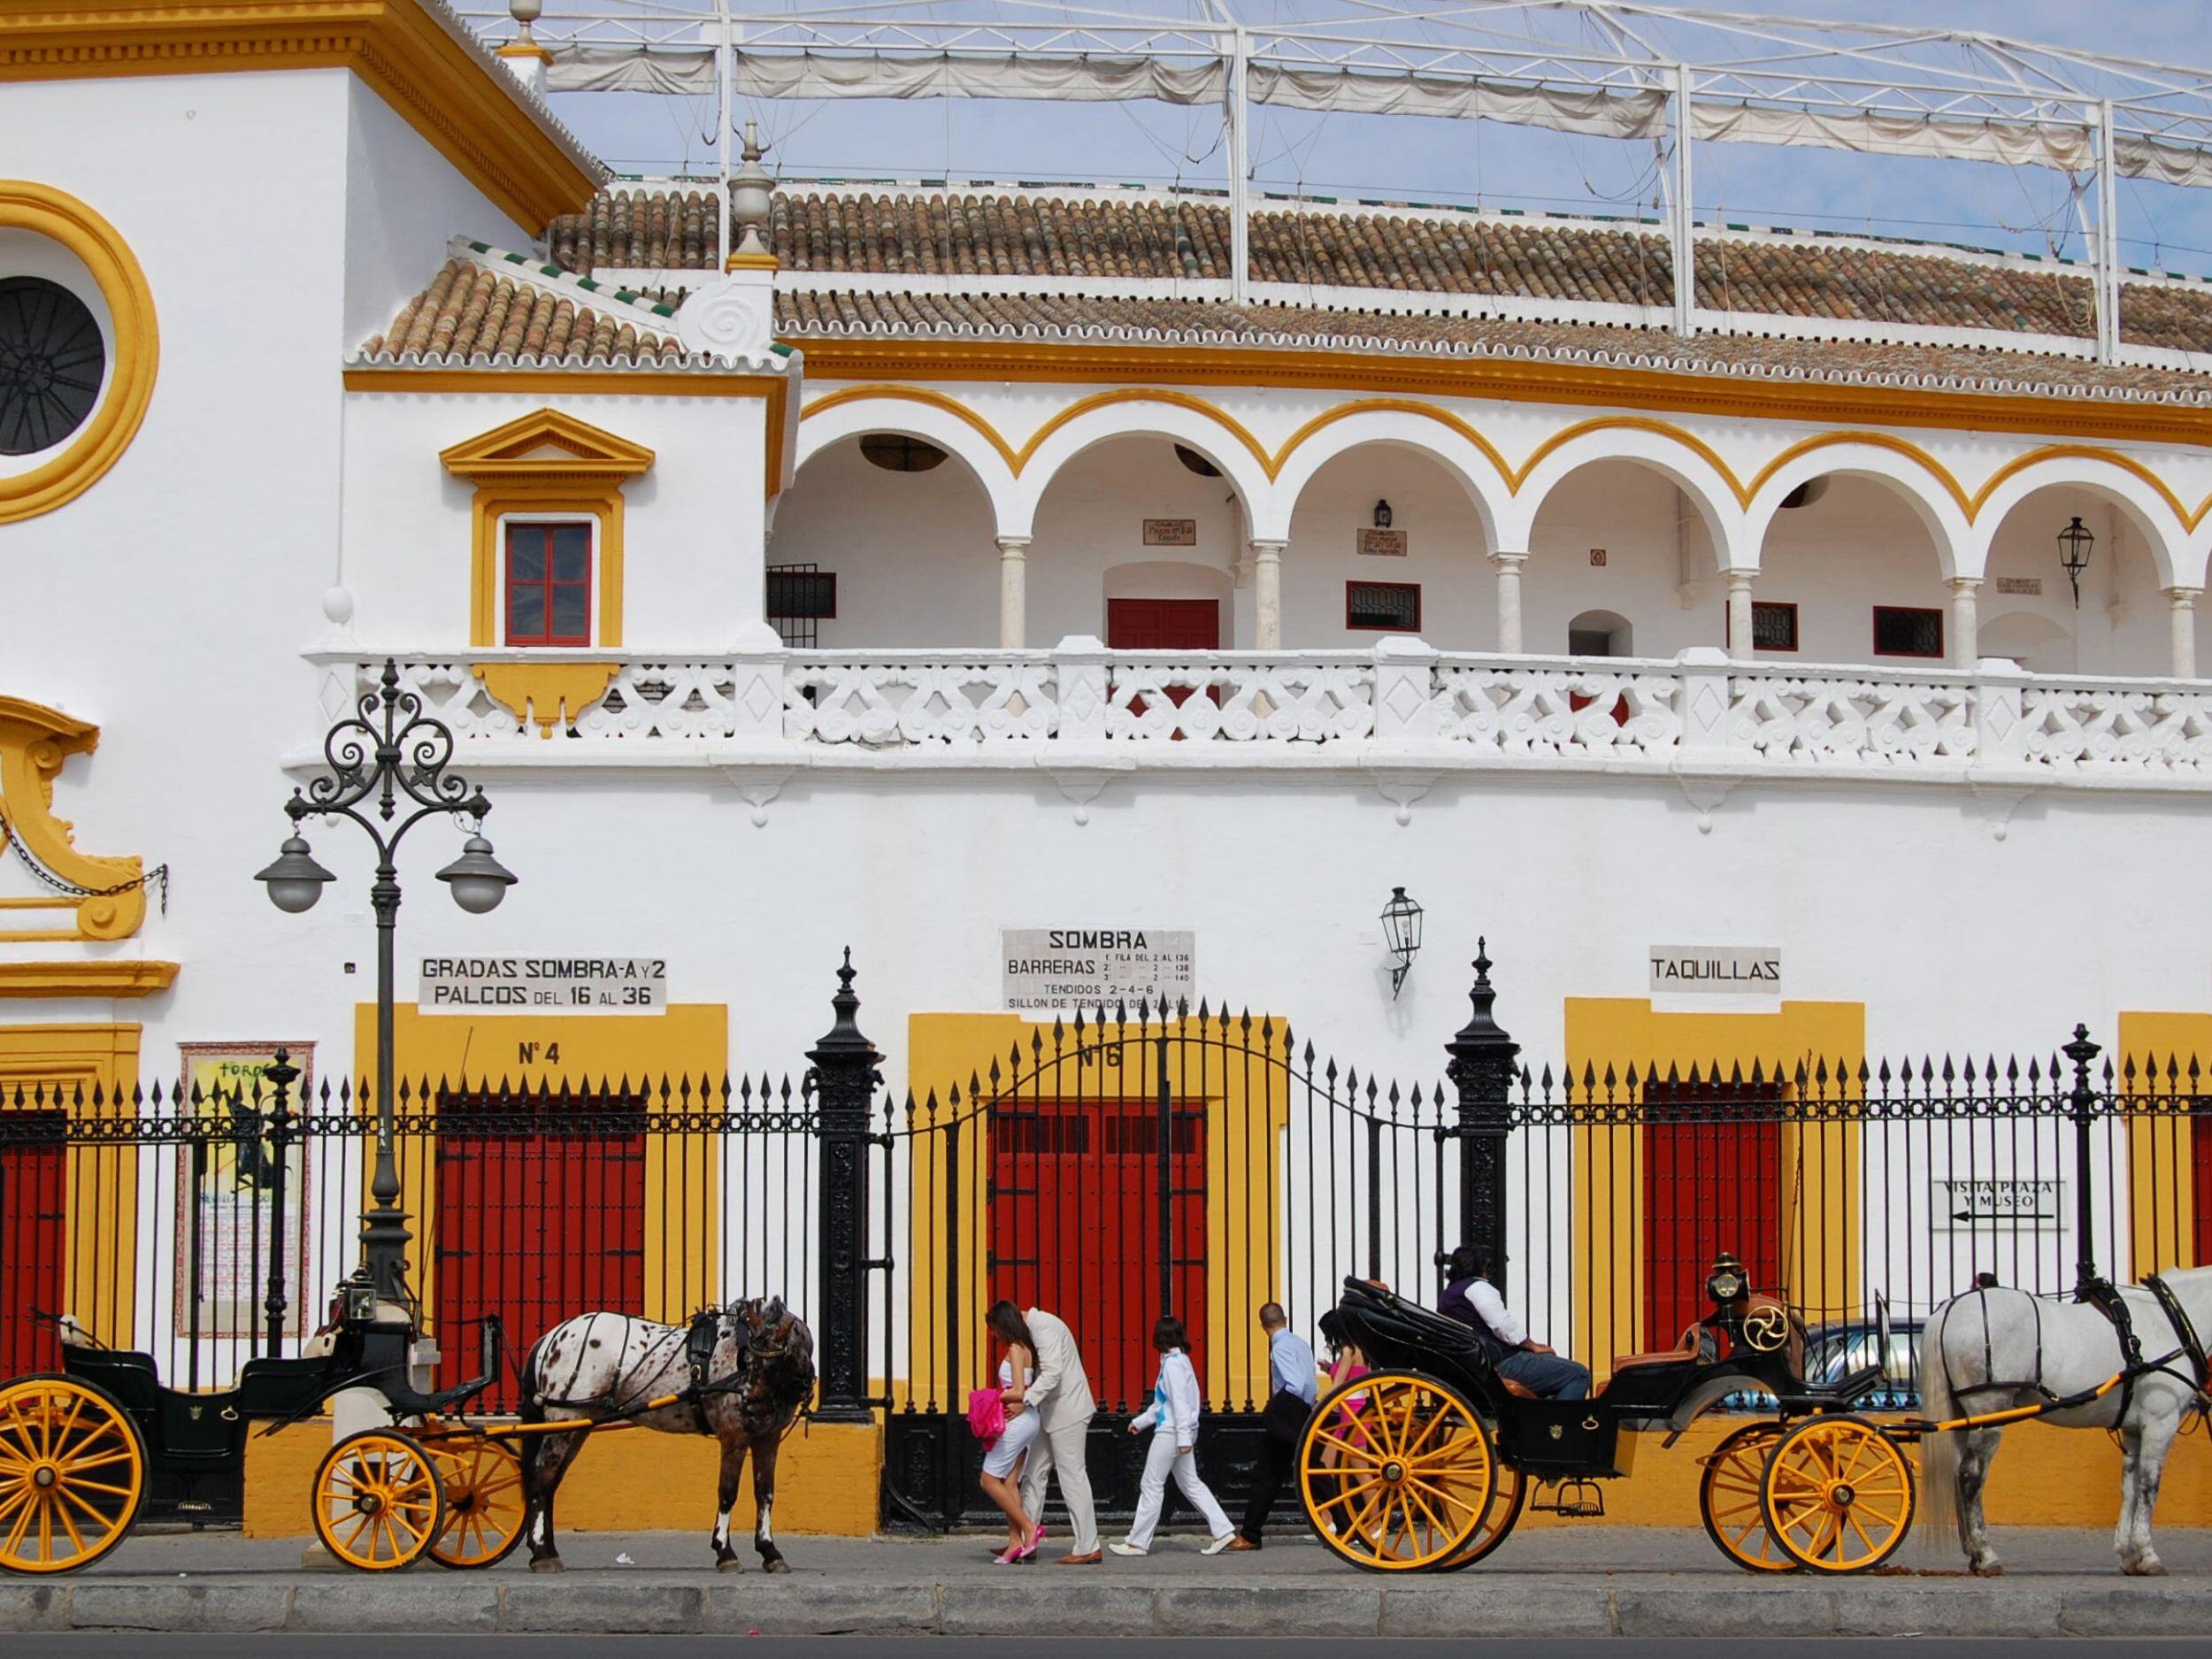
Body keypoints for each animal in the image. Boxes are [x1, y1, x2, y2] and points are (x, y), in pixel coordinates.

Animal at [1920, 1274, 2212, 1584]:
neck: (2168, 1321)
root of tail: (1950, 1308)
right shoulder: (2160, 1423)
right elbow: (2149, 1487)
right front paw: (2148, 1555)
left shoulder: (2134, 1431)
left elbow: (2129, 1488)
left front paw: (2128, 1554)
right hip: (1989, 1412)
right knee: (1971, 1476)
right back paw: (1985, 1555)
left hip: (1964, 1419)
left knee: (1957, 1474)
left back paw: (1972, 1551)